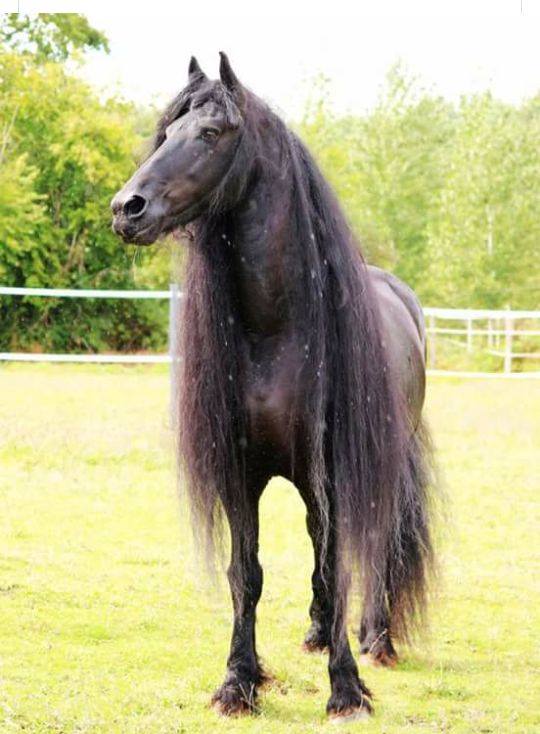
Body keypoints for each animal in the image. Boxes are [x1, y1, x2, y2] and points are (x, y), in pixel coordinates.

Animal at [110, 53, 434, 724]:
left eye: (211, 133)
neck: (277, 333)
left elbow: (337, 566)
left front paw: (346, 689)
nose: (127, 208)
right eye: (166, 132)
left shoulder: (330, 473)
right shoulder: (239, 474)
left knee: (377, 542)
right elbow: (248, 574)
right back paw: (317, 632)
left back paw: (376, 638)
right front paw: (239, 681)